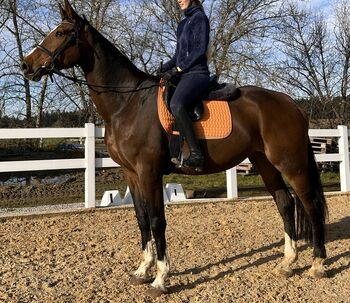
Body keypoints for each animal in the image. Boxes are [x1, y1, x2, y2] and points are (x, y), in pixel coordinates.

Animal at [22, 0, 328, 298]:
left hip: (292, 164)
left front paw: (160, 278)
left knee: (310, 206)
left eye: (61, 33)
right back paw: (287, 263)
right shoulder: (131, 173)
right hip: (264, 162)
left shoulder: (149, 172)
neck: (127, 103)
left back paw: (318, 264)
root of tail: (292, 104)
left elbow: (157, 220)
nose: (26, 65)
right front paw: (142, 270)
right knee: (285, 204)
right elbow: (142, 218)